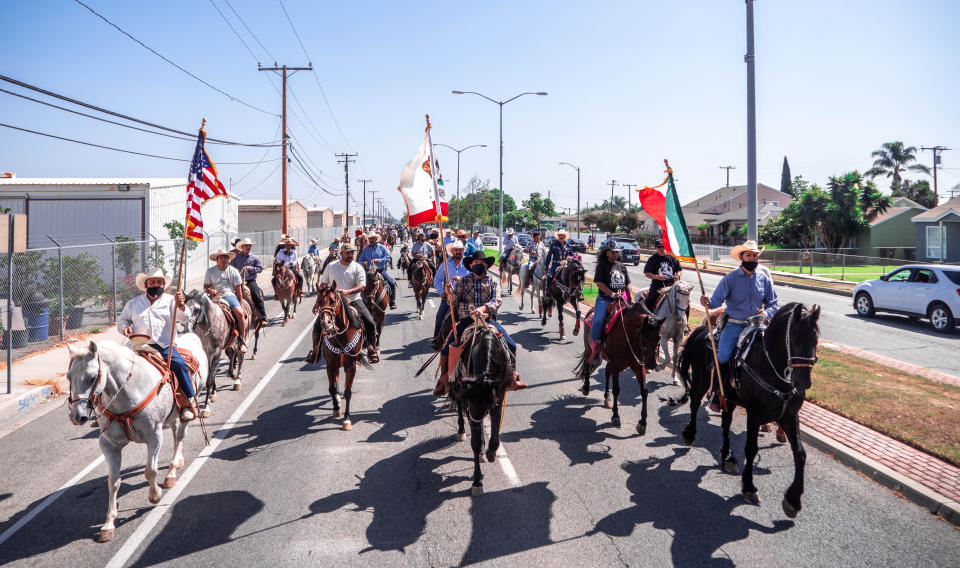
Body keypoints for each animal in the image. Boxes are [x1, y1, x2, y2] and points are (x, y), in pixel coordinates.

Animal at [64, 336, 207, 544]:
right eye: (68, 377)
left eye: (91, 377)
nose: (77, 416)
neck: (126, 395)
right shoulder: (109, 444)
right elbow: (113, 481)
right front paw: (108, 524)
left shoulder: (154, 436)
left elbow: (150, 471)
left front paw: (155, 495)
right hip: (172, 415)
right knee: (175, 433)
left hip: (185, 411)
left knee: (180, 435)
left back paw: (171, 472)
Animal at [312, 284, 372, 430]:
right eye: (319, 301)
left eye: (333, 301)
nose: (326, 323)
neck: (340, 336)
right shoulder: (330, 364)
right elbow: (332, 388)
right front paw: (336, 409)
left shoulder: (350, 365)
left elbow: (348, 391)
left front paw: (347, 420)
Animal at [450, 318, 516, 494]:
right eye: (472, 400)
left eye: (489, 402)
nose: (476, 419)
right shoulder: (470, 405)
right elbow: (475, 442)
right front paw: (477, 481)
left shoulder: (498, 402)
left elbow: (494, 437)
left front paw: (491, 453)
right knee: (461, 411)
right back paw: (462, 431)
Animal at [572, 298, 664, 434]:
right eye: (644, 336)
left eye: (659, 336)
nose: (651, 364)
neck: (629, 336)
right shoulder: (616, 366)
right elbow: (616, 389)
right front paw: (615, 416)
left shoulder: (638, 366)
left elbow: (644, 391)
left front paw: (642, 423)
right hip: (590, 349)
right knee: (588, 364)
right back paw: (586, 388)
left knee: (606, 373)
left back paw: (607, 398)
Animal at [672, 304, 820, 516]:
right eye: (794, 339)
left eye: (815, 339)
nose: (803, 383)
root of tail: (703, 331)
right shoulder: (754, 415)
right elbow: (751, 449)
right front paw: (749, 487)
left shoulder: (790, 417)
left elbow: (800, 454)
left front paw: (793, 499)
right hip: (701, 381)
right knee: (694, 403)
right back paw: (690, 434)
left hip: (729, 398)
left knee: (725, 424)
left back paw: (728, 457)